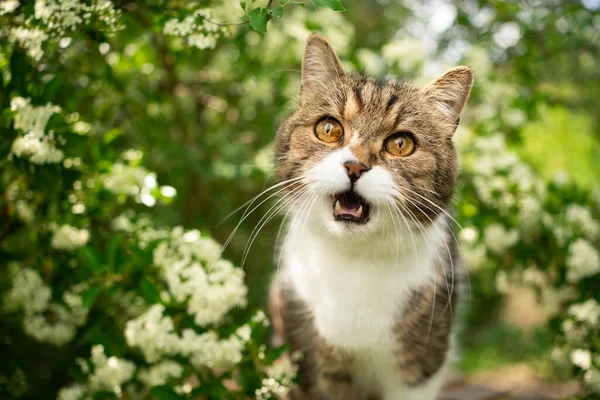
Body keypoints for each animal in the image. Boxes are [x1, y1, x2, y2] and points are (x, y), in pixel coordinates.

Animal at [270, 34, 474, 400]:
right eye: (328, 128)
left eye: (401, 144)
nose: (355, 166)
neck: (355, 259)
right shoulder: (320, 363)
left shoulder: (420, 364)